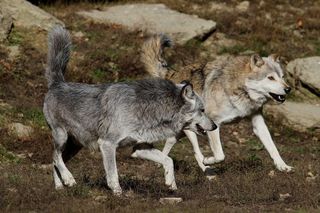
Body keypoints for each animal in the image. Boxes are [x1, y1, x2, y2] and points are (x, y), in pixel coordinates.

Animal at [43, 26, 218, 195]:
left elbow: (169, 161)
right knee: (55, 156)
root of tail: (57, 83)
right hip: (62, 136)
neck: (148, 109)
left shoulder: (139, 149)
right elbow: (113, 174)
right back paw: (69, 179)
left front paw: (171, 184)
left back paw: (60, 187)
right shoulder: (107, 144)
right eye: (203, 110)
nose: (215, 126)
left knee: (54, 161)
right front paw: (118, 194)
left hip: (75, 146)